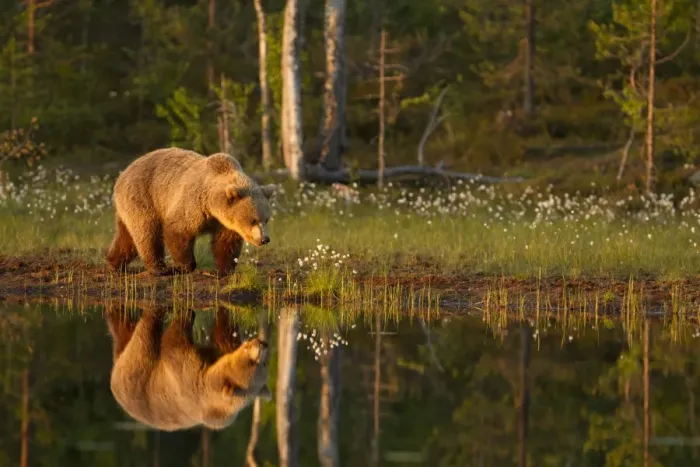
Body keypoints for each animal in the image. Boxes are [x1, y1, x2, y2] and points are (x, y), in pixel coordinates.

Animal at [105, 304, 271, 431]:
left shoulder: (187, 378)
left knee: (144, 334)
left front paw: (185, 313)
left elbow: (173, 343)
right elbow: (219, 337)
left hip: (136, 369)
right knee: (124, 333)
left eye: (257, 362)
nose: (263, 343)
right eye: (261, 363)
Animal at [106, 147, 276, 276]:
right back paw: (159, 269)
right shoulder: (194, 205)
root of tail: (123, 173)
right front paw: (184, 266)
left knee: (126, 238)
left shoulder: (224, 222)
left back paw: (113, 262)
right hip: (143, 197)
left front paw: (224, 269)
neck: (213, 206)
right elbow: (178, 230)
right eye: (253, 220)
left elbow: (225, 242)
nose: (265, 239)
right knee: (147, 232)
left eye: (266, 219)